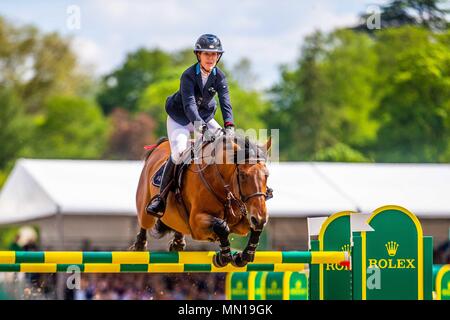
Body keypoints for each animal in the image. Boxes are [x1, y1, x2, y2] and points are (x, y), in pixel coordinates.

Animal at [132, 130, 272, 268]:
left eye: (267, 175)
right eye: (242, 175)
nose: (260, 217)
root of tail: (161, 145)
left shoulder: (243, 220)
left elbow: (255, 228)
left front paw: (243, 256)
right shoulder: (196, 224)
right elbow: (222, 226)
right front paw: (223, 257)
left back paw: (178, 242)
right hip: (146, 208)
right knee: (144, 222)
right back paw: (139, 246)